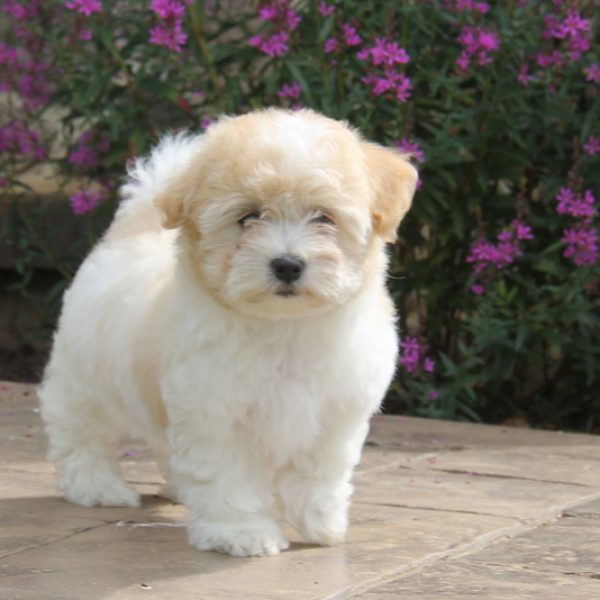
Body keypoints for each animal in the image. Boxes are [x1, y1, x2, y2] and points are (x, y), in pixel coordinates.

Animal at [38, 109, 418, 556]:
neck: (285, 326)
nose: (287, 264)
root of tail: (129, 234)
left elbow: (318, 471)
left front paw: (321, 523)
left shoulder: (336, 412)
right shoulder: (215, 413)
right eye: (248, 217)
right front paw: (241, 533)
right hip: (86, 380)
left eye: (324, 217)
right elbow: (229, 476)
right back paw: (98, 487)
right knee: (82, 433)